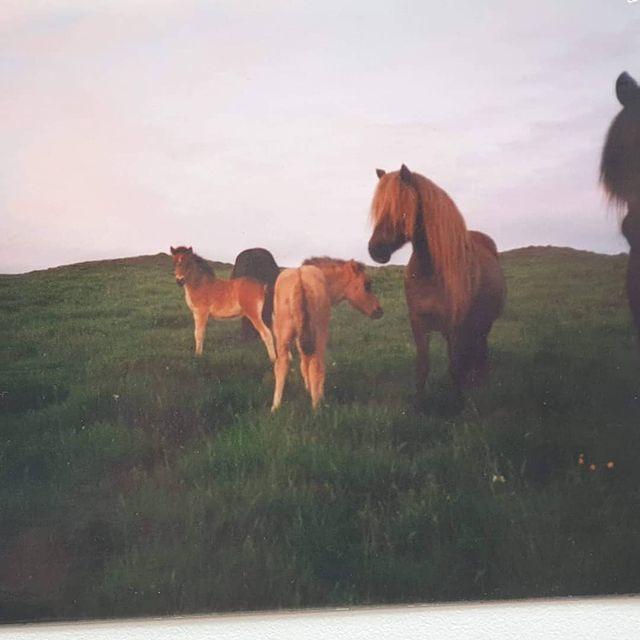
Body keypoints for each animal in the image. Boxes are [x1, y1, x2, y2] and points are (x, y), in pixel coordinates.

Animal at [268, 258, 380, 412]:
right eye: (367, 285)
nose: (379, 310)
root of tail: (300, 278)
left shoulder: (300, 339)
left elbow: (304, 362)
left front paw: (308, 388)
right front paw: (317, 393)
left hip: (283, 337)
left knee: (281, 365)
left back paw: (276, 407)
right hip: (319, 333)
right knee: (317, 365)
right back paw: (317, 406)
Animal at [368, 162, 508, 398]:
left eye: (401, 206)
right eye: (379, 208)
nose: (375, 250)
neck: (430, 272)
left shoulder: (455, 327)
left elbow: (455, 368)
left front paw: (459, 401)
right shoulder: (418, 323)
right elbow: (423, 367)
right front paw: (419, 402)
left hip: (484, 322)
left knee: (481, 349)